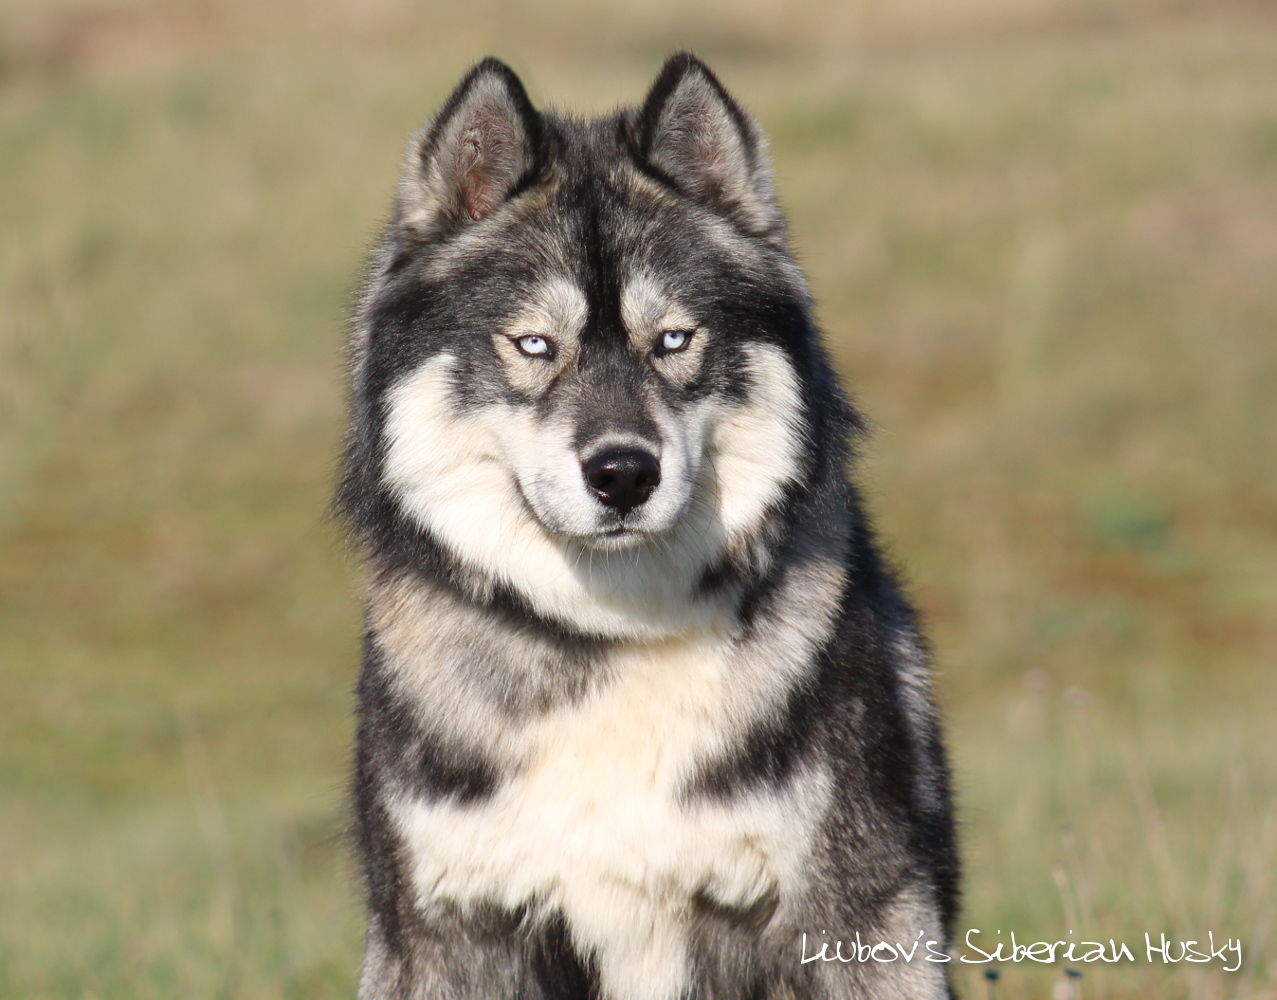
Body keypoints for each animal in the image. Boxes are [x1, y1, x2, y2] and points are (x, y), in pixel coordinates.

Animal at [339, 52, 959, 1000]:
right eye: (532, 345)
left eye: (671, 340)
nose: (624, 474)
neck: (613, 641)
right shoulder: (448, 936)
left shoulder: (856, 922)